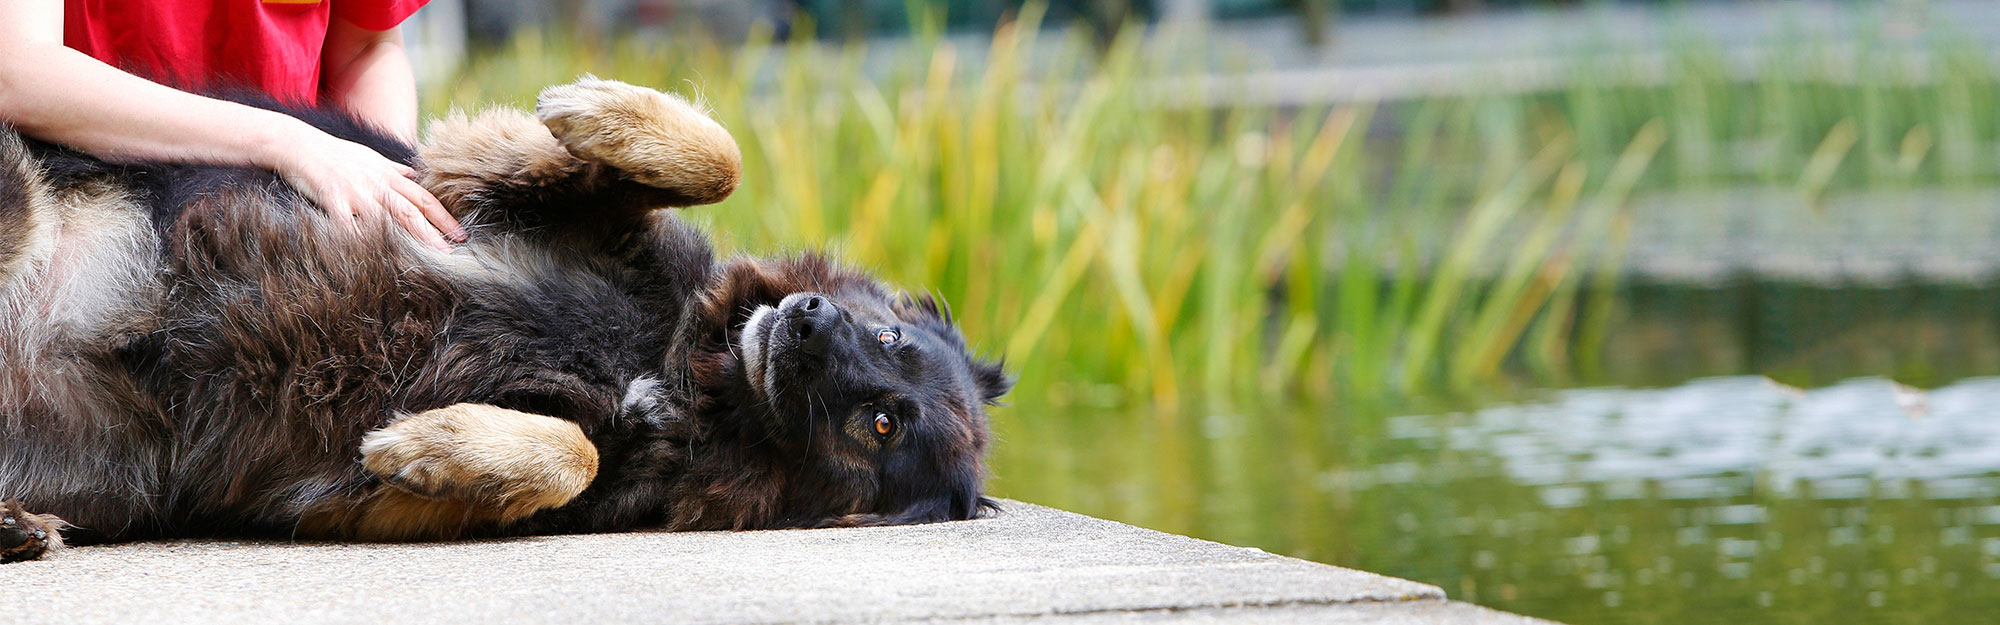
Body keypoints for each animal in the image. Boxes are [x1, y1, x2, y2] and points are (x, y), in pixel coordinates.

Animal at [0, 77, 1008, 560]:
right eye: (889, 334)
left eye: (882, 423)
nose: (802, 319)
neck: (677, 363)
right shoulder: (470, 179)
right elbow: (716, 157)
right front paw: (595, 108)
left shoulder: (360, 497)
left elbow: (575, 452)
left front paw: (438, 444)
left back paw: (18, 527)